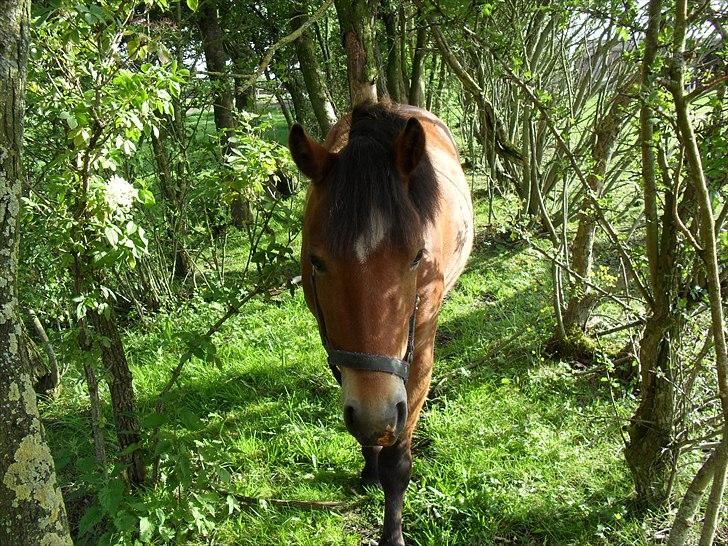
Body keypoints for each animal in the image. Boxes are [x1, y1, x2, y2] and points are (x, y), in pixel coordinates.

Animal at [288, 102, 474, 544]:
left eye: (417, 257)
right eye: (316, 262)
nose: (378, 414)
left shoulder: (418, 353)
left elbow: (398, 463)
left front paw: (392, 533)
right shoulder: (337, 350)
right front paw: (369, 466)